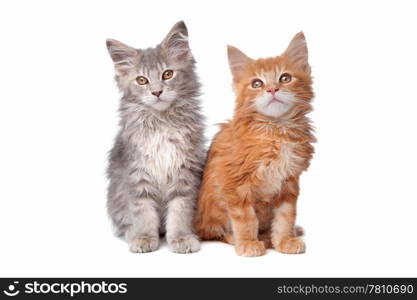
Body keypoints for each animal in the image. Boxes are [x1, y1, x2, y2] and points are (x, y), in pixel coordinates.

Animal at [105, 21, 205, 253]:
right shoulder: (137, 172)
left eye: (167, 74)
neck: (162, 122)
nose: (157, 92)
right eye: (142, 80)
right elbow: (143, 212)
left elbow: (180, 211)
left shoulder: (184, 171)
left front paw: (181, 238)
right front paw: (143, 237)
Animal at [195, 33, 316, 258]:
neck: (276, 131)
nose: (272, 89)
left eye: (285, 78)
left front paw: (284, 240)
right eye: (257, 83)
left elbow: (286, 217)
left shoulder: (289, 183)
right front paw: (248, 243)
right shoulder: (234, 184)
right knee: (215, 232)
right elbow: (245, 219)